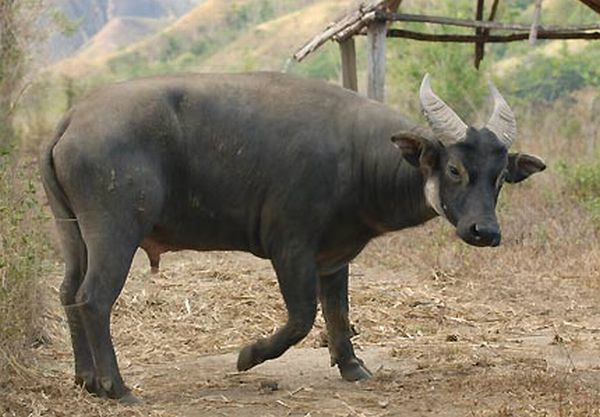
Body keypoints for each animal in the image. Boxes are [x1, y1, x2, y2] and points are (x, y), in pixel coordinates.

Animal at [41, 70, 544, 400]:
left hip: (74, 234)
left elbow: (339, 312)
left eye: (500, 177)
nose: (485, 231)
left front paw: (352, 366)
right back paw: (116, 387)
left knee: (67, 292)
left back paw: (85, 379)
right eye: (455, 169)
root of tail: (71, 120)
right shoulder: (290, 248)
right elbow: (302, 318)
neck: (357, 158)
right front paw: (248, 355)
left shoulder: (334, 257)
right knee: (93, 298)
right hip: (115, 231)